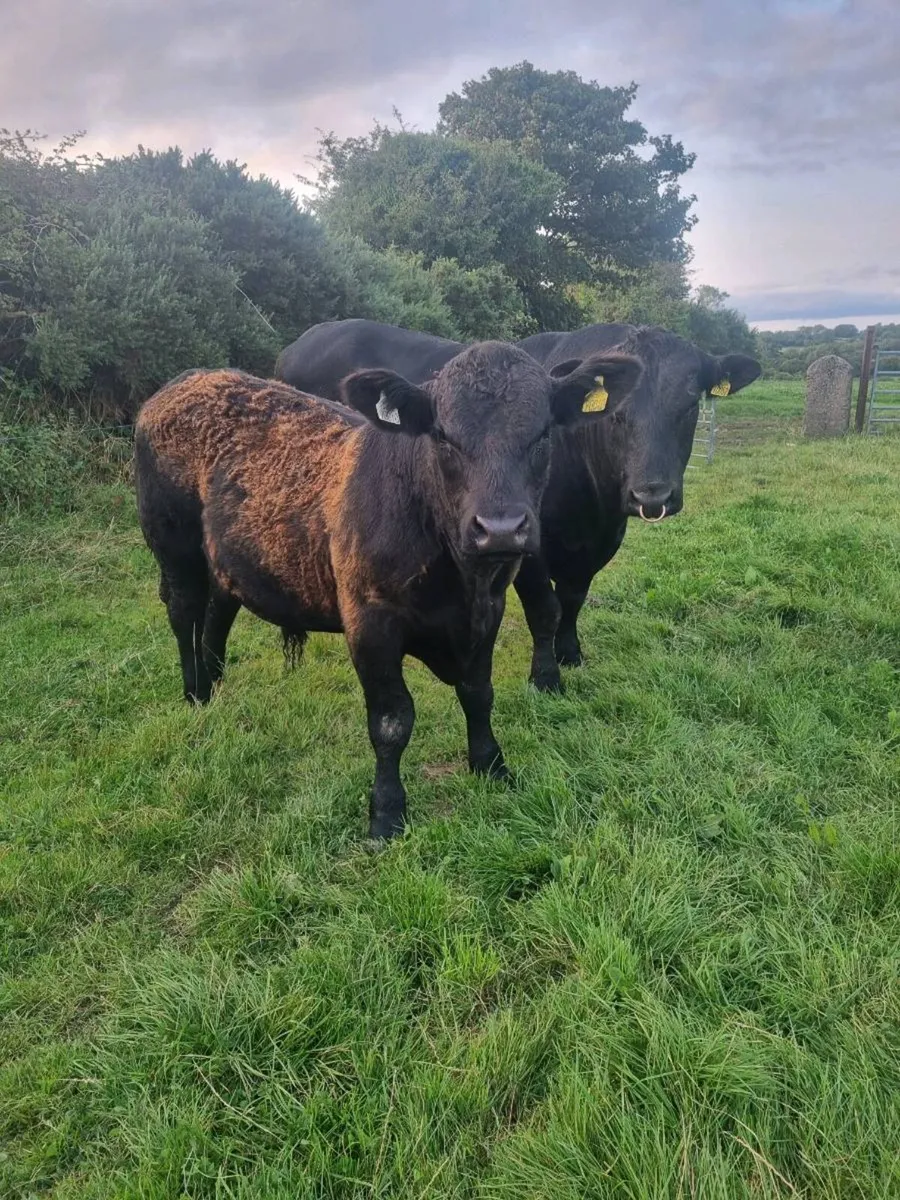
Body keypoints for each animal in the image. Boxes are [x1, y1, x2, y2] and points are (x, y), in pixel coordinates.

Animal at [134, 341, 641, 839]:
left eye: (543, 435)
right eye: (442, 436)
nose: (500, 529)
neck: (460, 584)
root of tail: (190, 379)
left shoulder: (489, 611)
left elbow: (479, 692)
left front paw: (491, 765)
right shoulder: (370, 624)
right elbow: (392, 721)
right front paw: (387, 812)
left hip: (227, 557)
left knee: (218, 610)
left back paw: (215, 680)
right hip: (173, 545)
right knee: (184, 611)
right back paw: (196, 690)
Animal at [274, 318, 762, 692]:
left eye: (689, 405)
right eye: (618, 414)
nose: (652, 495)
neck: (593, 508)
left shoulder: (595, 546)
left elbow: (573, 600)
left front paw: (570, 654)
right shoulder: (528, 545)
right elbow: (545, 609)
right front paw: (545, 677)